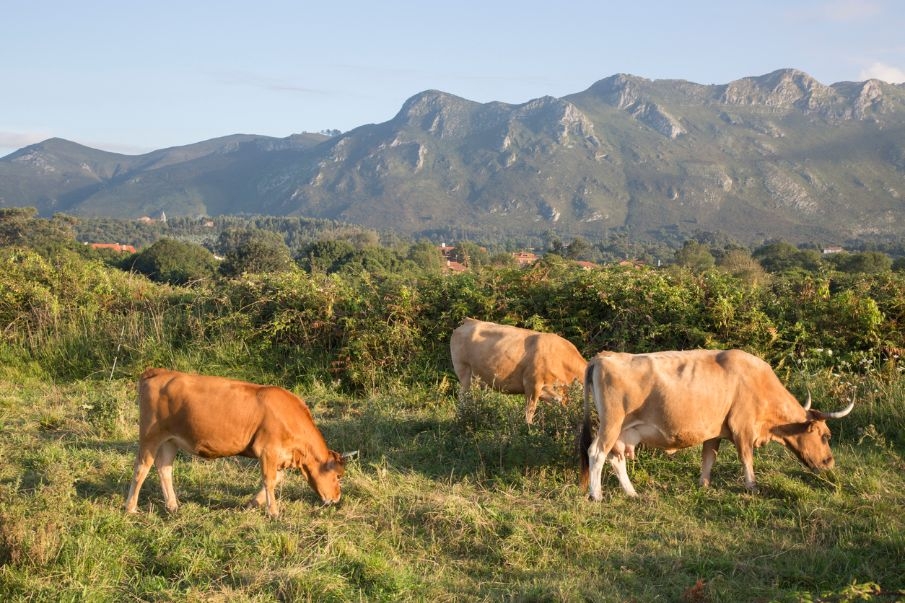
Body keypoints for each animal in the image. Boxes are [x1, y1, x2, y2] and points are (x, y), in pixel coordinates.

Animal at [122, 368, 344, 520]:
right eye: (337, 476)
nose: (337, 498)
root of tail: (158, 371)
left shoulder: (281, 456)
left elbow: (277, 479)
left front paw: (252, 503)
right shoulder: (268, 450)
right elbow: (269, 480)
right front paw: (273, 512)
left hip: (170, 440)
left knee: (164, 469)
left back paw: (172, 505)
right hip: (150, 436)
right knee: (141, 468)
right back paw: (131, 508)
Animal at [450, 318, 588, 422]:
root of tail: (469, 321)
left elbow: (560, 404)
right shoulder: (532, 384)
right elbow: (530, 411)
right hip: (465, 373)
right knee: (463, 400)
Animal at [580, 350, 856, 500]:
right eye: (826, 435)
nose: (829, 463)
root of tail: (604, 356)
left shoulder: (713, 431)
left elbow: (708, 458)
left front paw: (703, 484)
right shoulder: (743, 428)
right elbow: (746, 458)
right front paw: (752, 487)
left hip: (623, 432)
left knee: (616, 459)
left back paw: (631, 492)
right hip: (611, 424)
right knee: (597, 452)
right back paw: (596, 494)